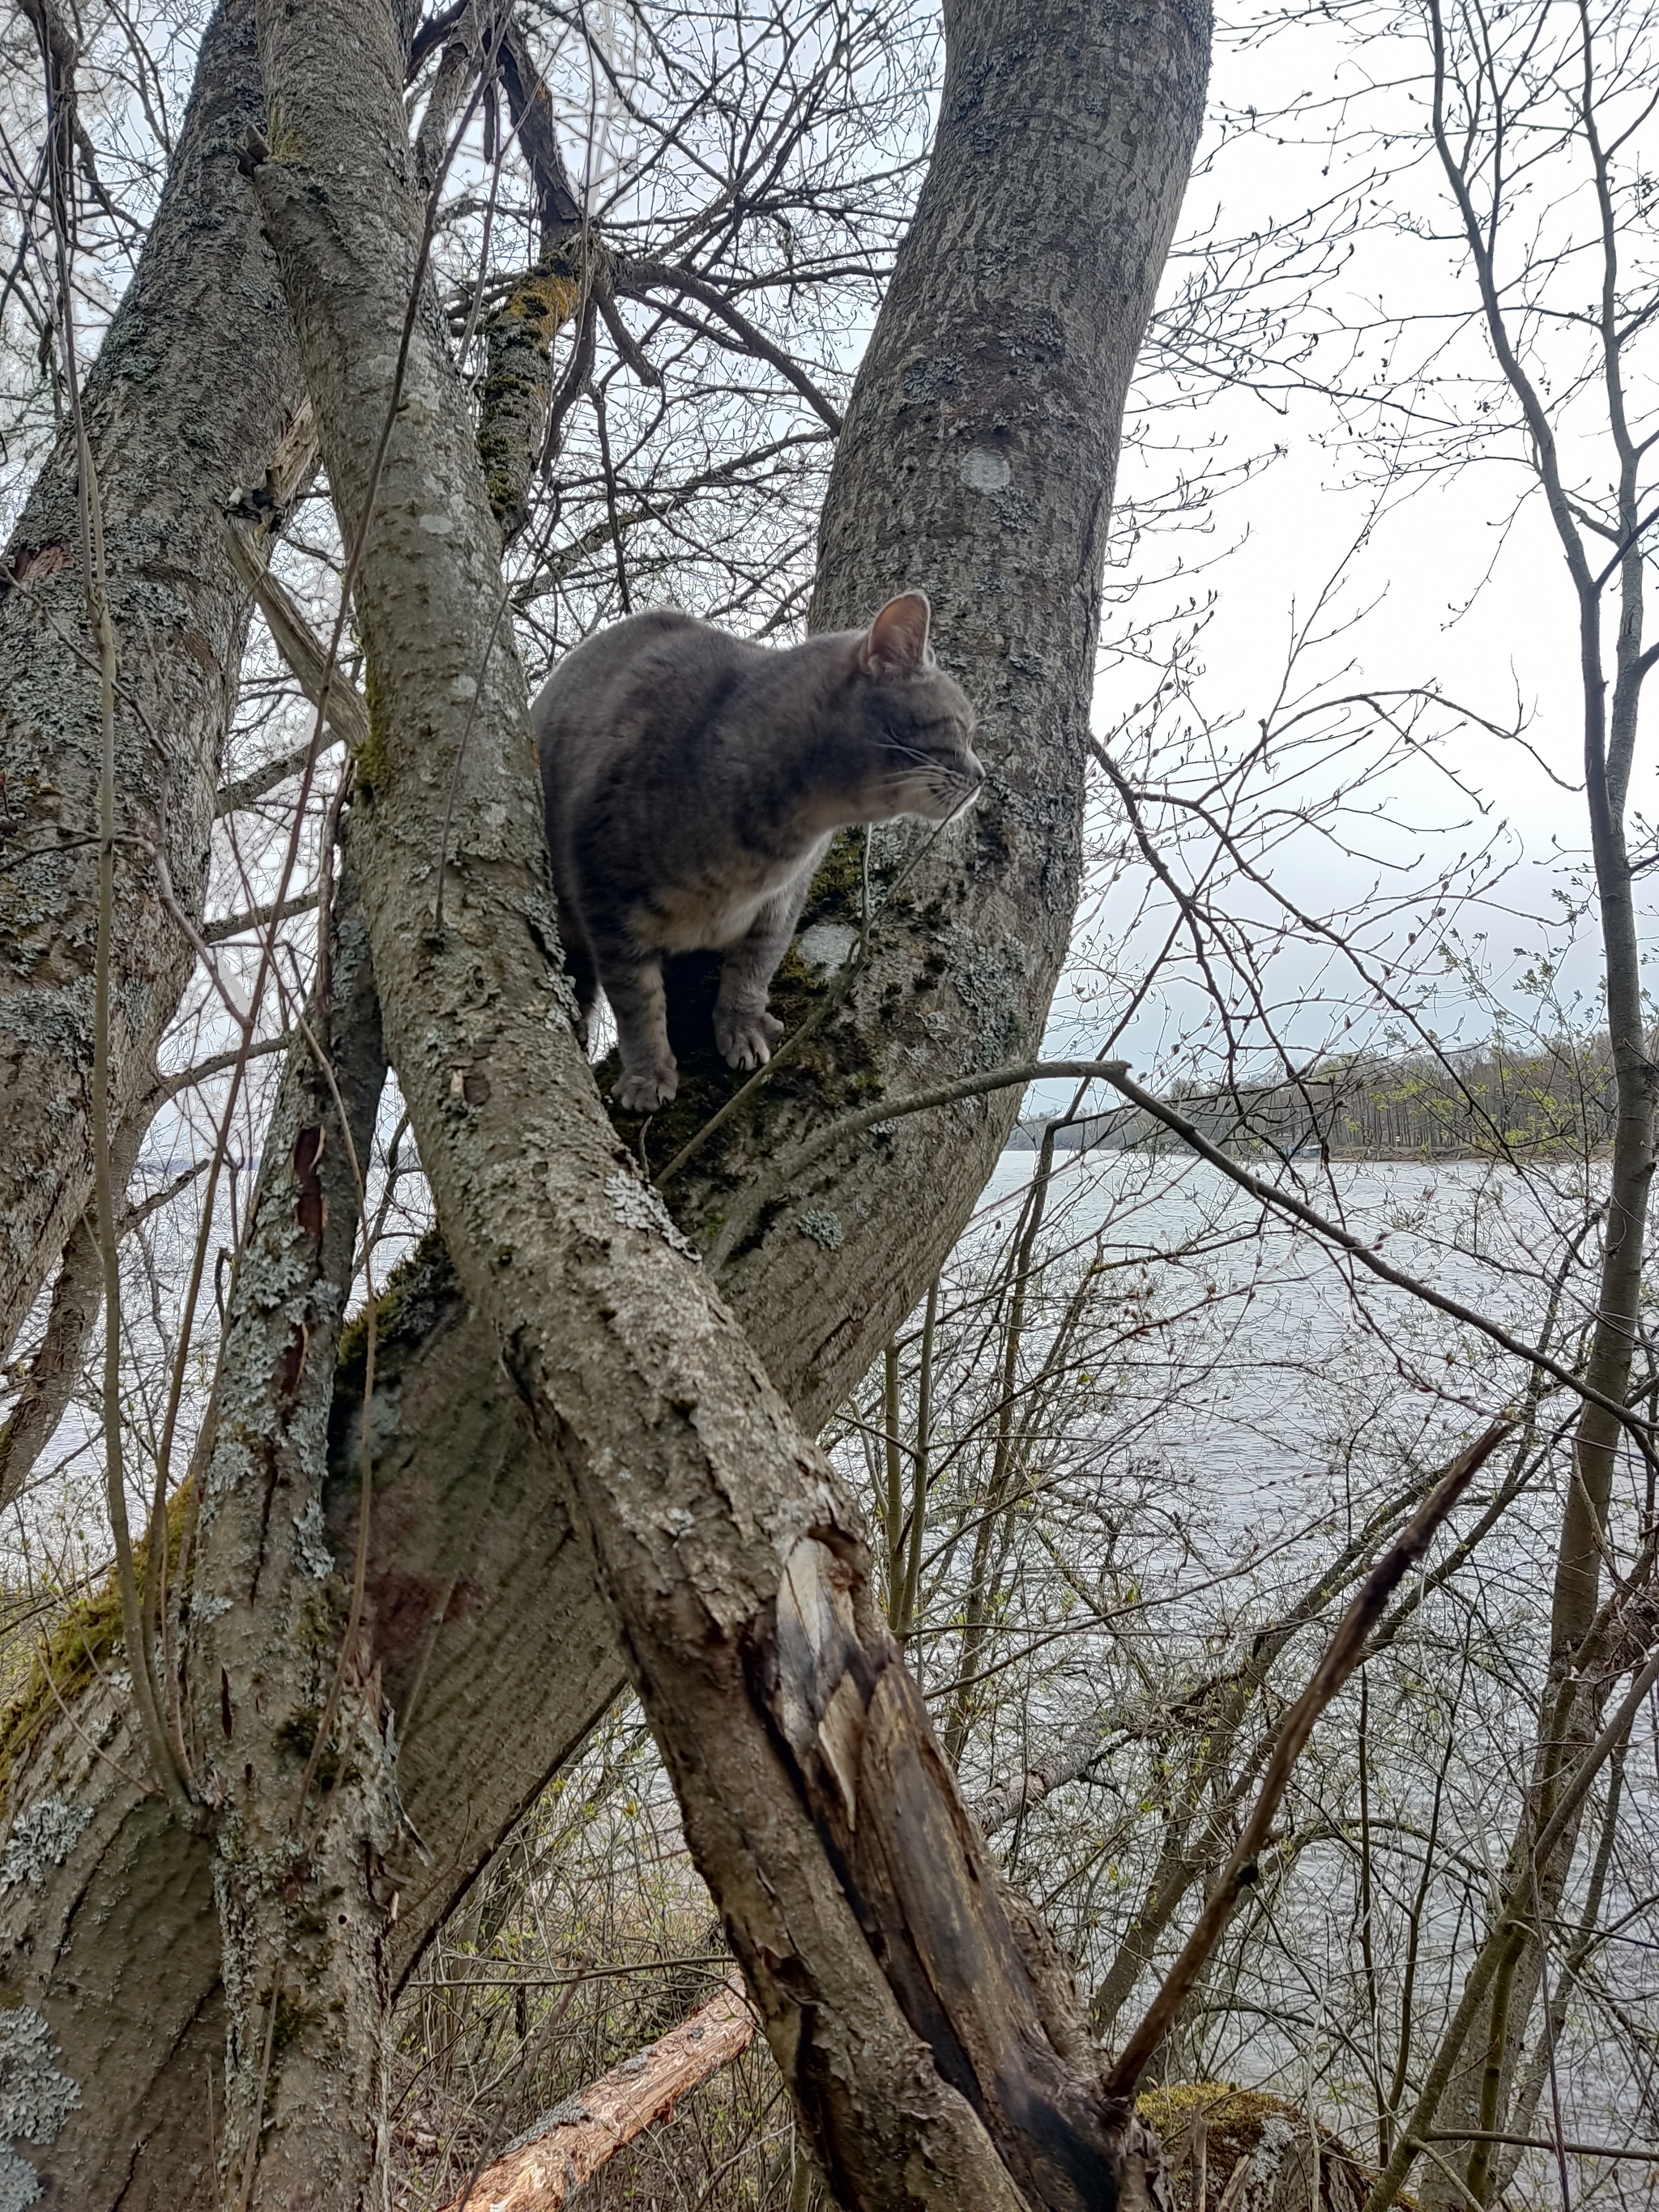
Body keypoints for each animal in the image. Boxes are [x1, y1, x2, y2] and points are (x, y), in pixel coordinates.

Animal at [533, 592, 982, 1106]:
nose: (982, 776)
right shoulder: (605, 898)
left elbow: (753, 969)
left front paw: (742, 1026)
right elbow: (637, 1003)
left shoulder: (782, 904)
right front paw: (648, 1074)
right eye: (959, 728)